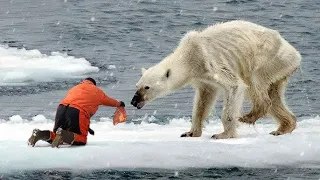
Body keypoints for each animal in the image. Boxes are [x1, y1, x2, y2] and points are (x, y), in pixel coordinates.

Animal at [130, 20, 300, 139]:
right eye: (137, 85)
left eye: (147, 87)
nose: (134, 101)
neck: (189, 55)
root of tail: (296, 54)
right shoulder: (201, 76)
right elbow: (203, 99)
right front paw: (190, 132)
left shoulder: (210, 62)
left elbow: (234, 85)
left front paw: (223, 134)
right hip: (279, 69)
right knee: (274, 95)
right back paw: (283, 127)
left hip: (268, 59)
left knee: (255, 83)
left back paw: (249, 116)